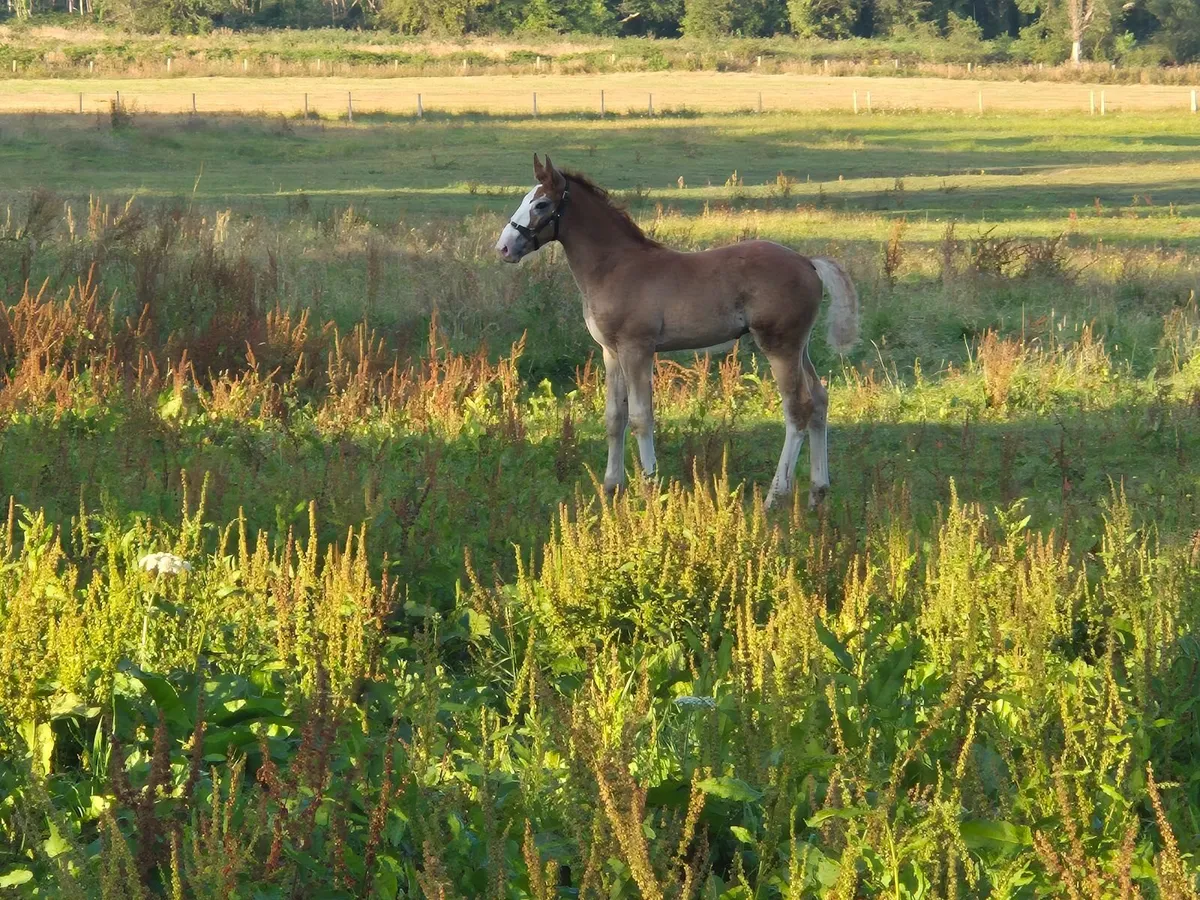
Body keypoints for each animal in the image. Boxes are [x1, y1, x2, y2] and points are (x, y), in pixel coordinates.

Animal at [495, 154, 860, 510]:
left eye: (541, 204)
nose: (503, 249)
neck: (614, 267)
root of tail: (808, 262)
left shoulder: (637, 348)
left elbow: (641, 416)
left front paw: (650, 488)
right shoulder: (611, 351)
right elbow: (614, 417)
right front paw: (611, 487)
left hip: (779, 345)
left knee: (798, 409)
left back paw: (775, 497)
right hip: (799, 346)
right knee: (819, 400)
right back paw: (817, 493)